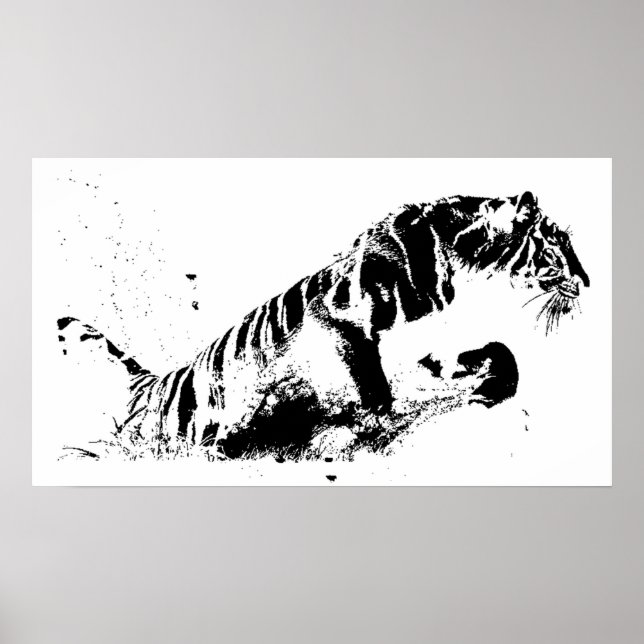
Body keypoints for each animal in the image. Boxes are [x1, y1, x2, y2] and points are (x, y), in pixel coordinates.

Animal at [58, 191, 589, 459]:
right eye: (557, 243)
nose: (586, 281)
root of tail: (148, 384)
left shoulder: (435, 346)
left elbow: (499, 354)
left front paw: (493, 385)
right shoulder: (340, 320)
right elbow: (369, 381)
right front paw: (367, 423)